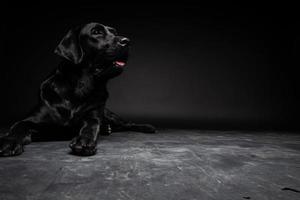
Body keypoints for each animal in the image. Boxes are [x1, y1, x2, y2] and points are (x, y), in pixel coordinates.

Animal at [0, 21, 155, 156]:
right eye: (96, 32)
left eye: (114, 32)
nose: (127, 41)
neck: (81, 87)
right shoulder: (31, 119)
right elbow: (18, 126)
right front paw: (9, 142)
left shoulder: (93, 115)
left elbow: (91, 126)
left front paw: (84, 141)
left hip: (110, 114)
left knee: (127, 123)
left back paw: (146, 127)